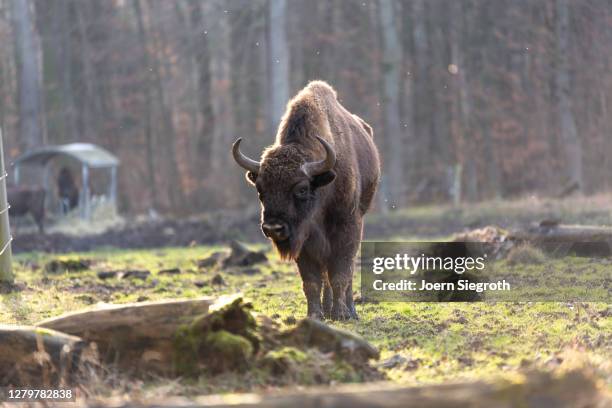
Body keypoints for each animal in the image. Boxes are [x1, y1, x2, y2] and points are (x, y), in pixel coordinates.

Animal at [233, 81, 380, 320]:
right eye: (260, 189)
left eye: (302, 189)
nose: (273, 228)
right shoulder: (303, 240)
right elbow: (311, 281)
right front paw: (315, 315)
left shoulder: (347, 229)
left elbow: (341, 274)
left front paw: (341, 314)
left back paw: (349, 311)